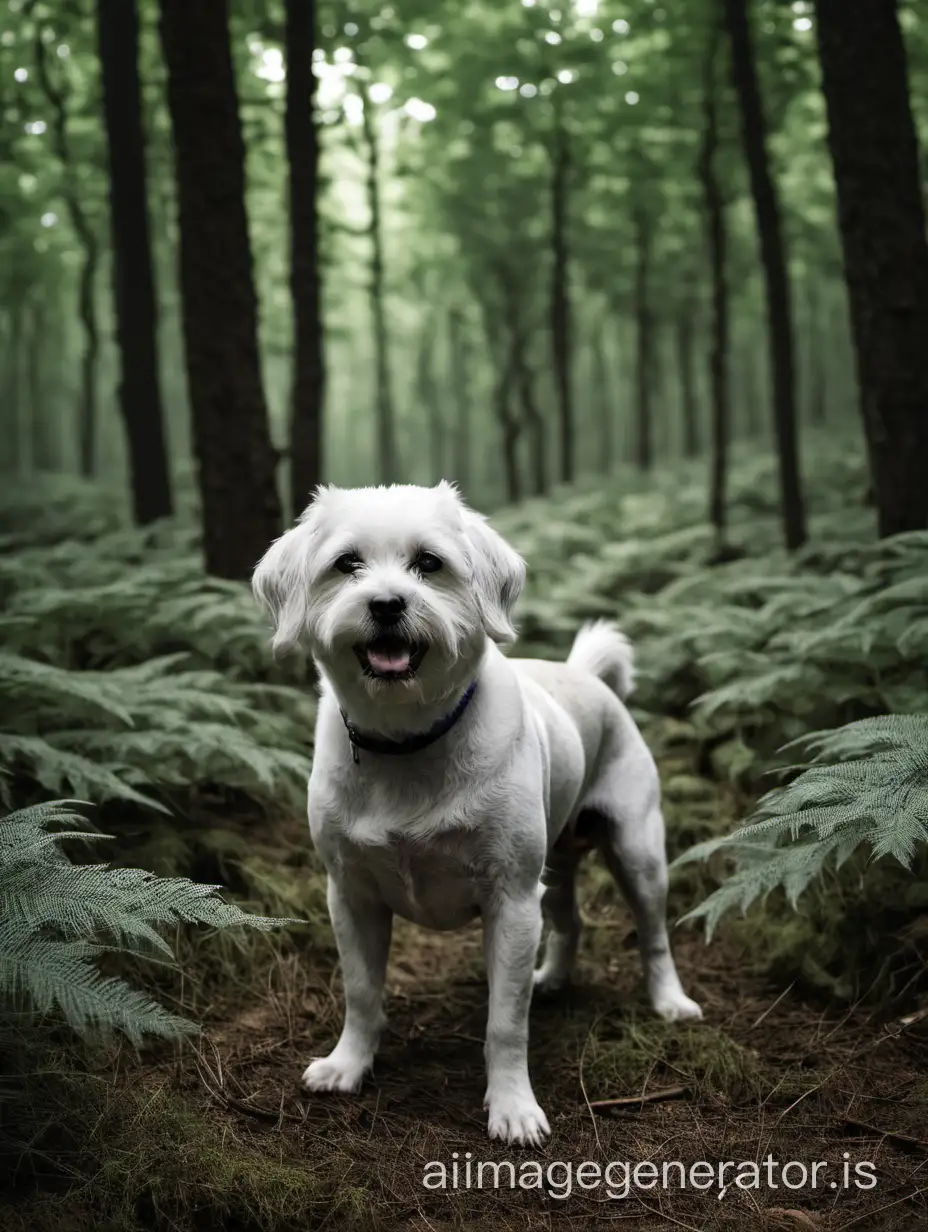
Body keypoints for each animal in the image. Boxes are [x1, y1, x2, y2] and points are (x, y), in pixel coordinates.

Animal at [250, 478, 700, 1143]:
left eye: (429, 563)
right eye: (347, 563)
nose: (386, 604)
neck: (408, 741)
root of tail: (586, 676)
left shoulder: (509, 899)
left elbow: (506, 1021)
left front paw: (513, 1106)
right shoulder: (350, 895)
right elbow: (361, 992)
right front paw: (349, 1064)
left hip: (637, 854)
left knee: (654, 935)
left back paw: (670, 1001)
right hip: (553, 866)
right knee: (570, 921)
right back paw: (553, 978)